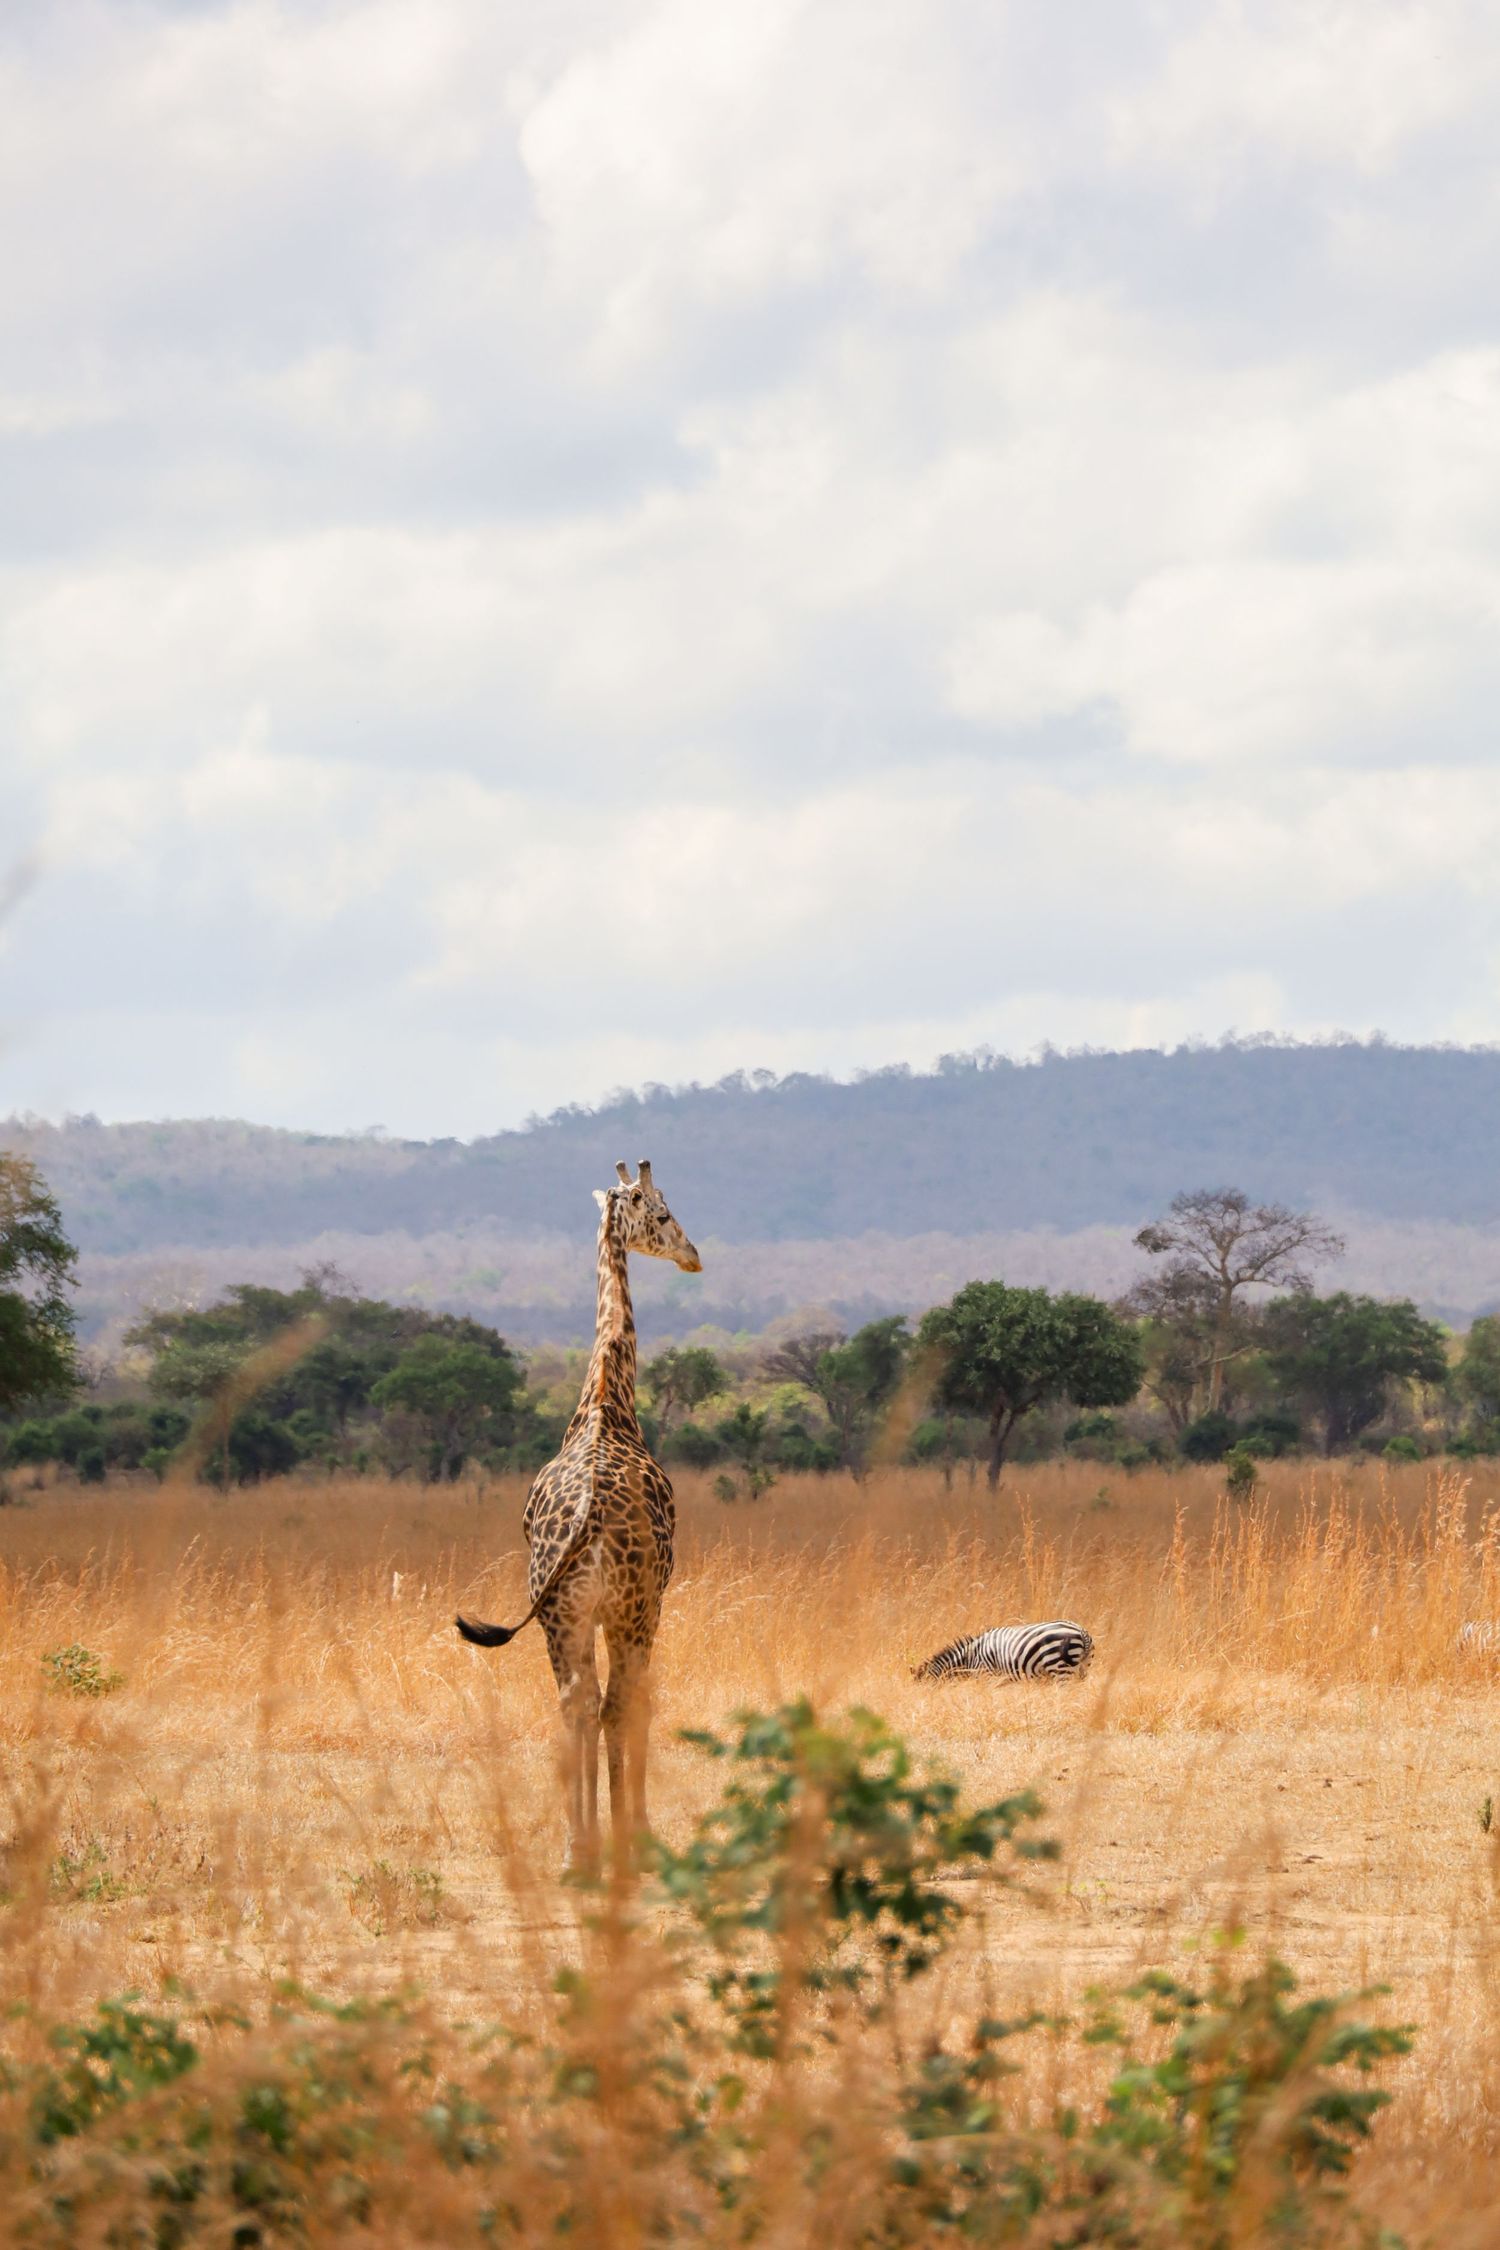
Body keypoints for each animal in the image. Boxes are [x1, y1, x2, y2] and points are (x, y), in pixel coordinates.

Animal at [456, 1159, 700, 1875]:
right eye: (664, 1212)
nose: (693, 1256)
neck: (606, 1397)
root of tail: (585, 1522)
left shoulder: (582, 1615)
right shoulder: (649, 1604)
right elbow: (637, 1704)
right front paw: (636, 1833)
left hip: (559, 1615)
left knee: (575, 1702)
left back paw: (575, 1851)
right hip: (629, 1609)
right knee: (618, 1702)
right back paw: (621, 1842)